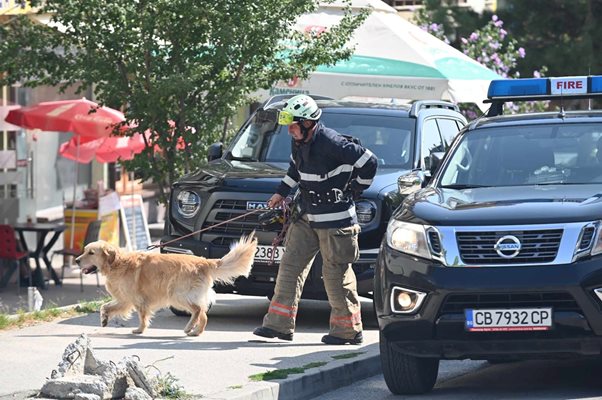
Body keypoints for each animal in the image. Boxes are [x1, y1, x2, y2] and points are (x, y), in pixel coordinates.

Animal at [74, 233, 255, 336]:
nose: (76, 260)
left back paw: (189, 328)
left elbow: (142, 316)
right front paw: (104, 319)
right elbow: (105, 306)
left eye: (91, 253)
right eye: (85, 250)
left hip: (176, 295)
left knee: (197, 311)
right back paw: (196, 331)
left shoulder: (137, 299)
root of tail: (204, 261)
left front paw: (140, 330)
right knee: (203, 314)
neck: (118, 263)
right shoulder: (125, 299)